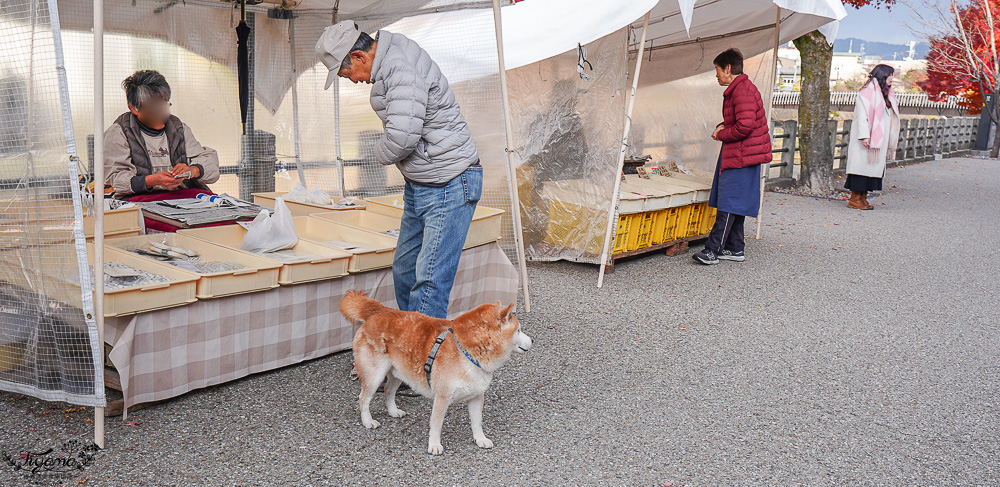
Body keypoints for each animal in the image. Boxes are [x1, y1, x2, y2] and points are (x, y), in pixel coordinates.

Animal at [340, 290, 532, 454]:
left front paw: (480, 439)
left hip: (398, 373)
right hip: (374, 376)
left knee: (388, 390)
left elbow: (477, 422)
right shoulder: (442, 397)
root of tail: (378, 310)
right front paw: (434, 445)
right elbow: (436, 424)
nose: (532, 340)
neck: (465, 351)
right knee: (363, 398)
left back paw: (393, 411)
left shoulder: (476, 396)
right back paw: (368, 421)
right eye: (518, 330)